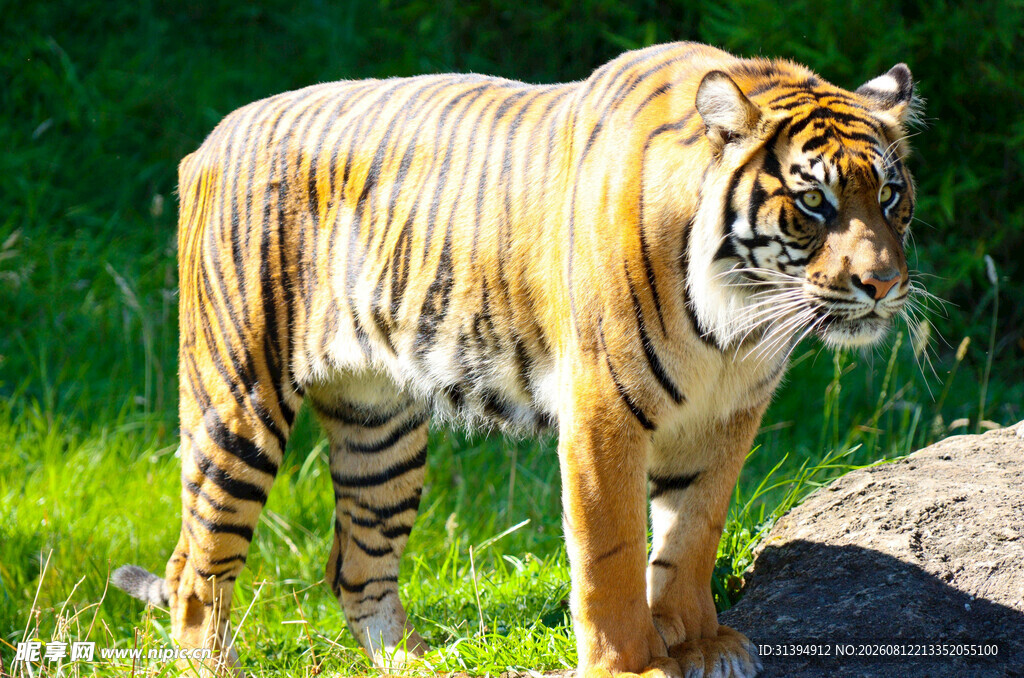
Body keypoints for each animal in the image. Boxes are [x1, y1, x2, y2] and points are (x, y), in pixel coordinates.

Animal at [111, 40, 920, 678]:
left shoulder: (728, 416)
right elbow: (611, 551)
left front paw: (702, 645)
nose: (883, 285)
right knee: (194, 568)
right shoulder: (604, 412)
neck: (739, 317)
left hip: (380, 430)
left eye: (889, 195)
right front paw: (632, 665)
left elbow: (691, 536)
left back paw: (420, 664)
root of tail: (214, 136)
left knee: (356, 568)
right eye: (813, 202)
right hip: (237, 400)